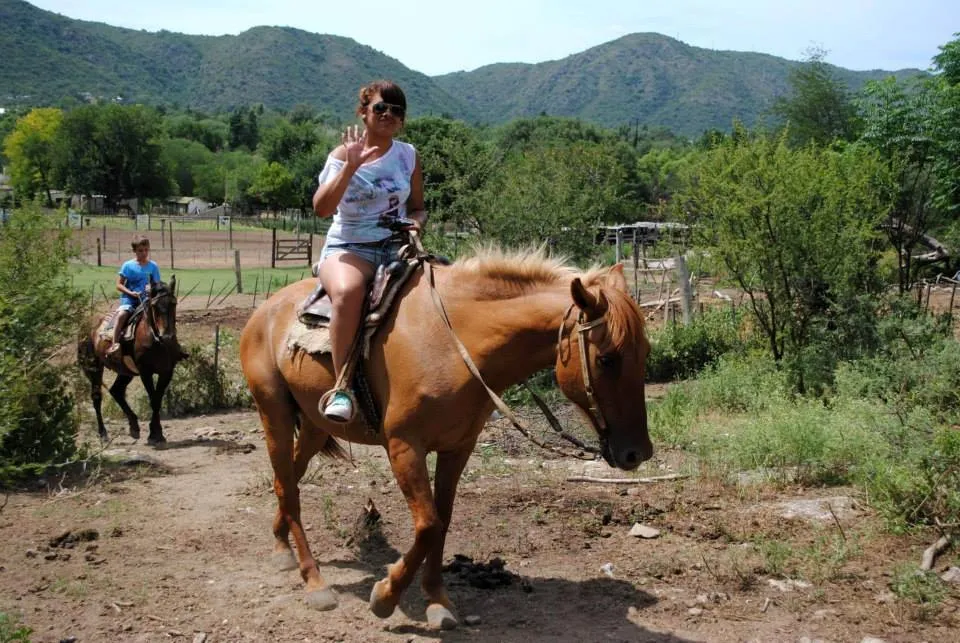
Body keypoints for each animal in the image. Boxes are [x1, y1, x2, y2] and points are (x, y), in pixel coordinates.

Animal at [79, 276, 186, 448]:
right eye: (154, 306)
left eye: (173, 303)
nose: (167, 336)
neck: (155, 340)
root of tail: (87, 324)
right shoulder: (145, 372)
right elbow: (153, 400)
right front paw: (154, 434)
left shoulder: (167, 371)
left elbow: (157, 399)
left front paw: (157, 433)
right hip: (94, 368)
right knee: (96, 397)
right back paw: (103, 434)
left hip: (125, 371)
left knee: (116, 391)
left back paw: (134, 426)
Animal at [238, 249, 652, 632]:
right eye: (608, 359)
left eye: (645, 353)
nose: (637, 453)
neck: (454, 342)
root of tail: (266, 310)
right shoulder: (404, 447)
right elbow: (428, 525)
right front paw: (385, 597)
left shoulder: (458, 447)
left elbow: (444, 520)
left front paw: (437, 601)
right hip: (273, 414)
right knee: (288, 486)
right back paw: (315, 581)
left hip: (313, 425)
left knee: (286, 480)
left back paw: (281, 547)